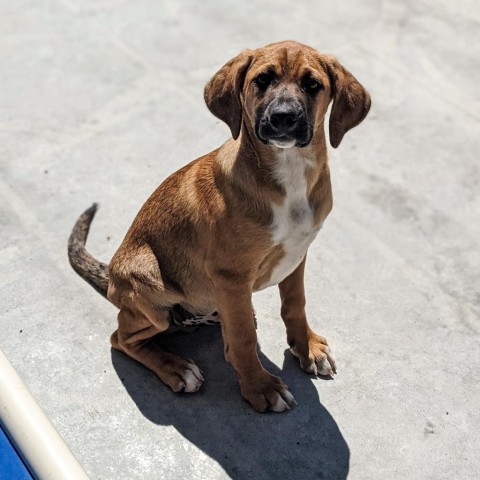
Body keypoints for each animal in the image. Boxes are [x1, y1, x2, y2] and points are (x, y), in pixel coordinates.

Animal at [67, 40, 370, 412]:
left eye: (312, 84)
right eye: (262, 79)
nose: (283, 117)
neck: (288, 173)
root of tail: (110, 277)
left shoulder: (297, 256)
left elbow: (294, 304)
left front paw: (307, 347)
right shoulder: (231, 275)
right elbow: (242, 339)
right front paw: (260, 387)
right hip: (148, 279)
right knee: (121, 337)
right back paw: (177, 368)